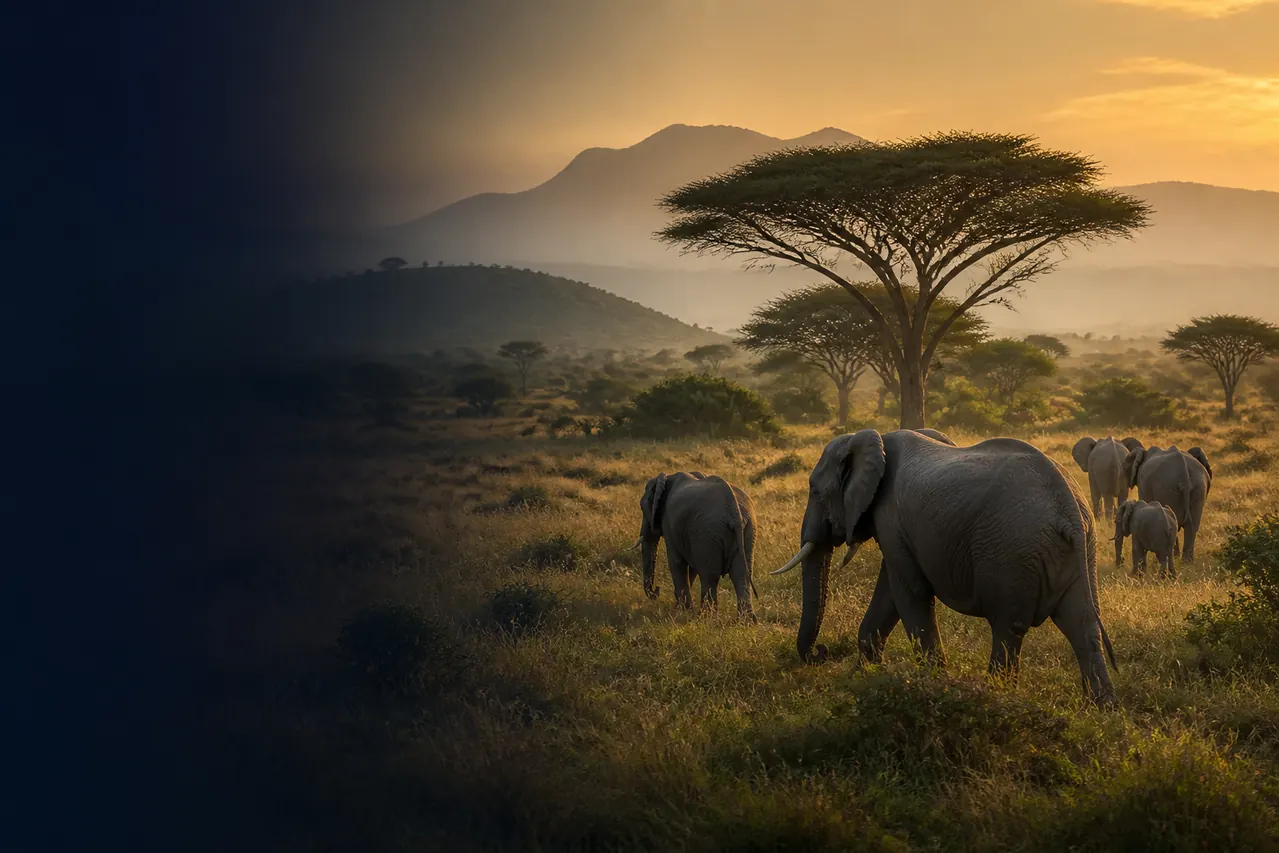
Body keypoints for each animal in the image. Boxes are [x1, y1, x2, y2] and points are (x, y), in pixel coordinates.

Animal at [635, 471, 758, 619]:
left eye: (641, 507)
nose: (657, 590)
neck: (667, 477)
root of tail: (733, 510)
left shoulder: (669, 523)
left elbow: (676, 562)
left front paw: (682, 611)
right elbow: (691, 568)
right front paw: (681, 609)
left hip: (708, 531)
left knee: (710, 576)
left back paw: (706, 618)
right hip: (747, 529)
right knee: (741, 575)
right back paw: (745, 621)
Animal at [771, 428, 1119, 705]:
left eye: (815, 491)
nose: (820, 652)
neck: (872, 439)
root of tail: (1068, 509)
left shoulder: (891, 517)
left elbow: (909, 593)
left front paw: (932, 686)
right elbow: (889, 594)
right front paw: (860, 679)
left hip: (1012, 550)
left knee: (1008, 626)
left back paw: (994, 695)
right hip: (1078, 550)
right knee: (1082, 624)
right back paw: (1101, 709)